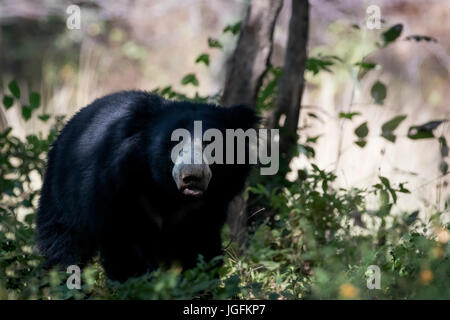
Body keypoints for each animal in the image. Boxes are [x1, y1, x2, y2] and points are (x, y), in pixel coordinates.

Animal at [37, 91, 258, 282]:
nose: (192, 176)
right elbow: (124, 241)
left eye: (211, 142)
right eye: (175, 141)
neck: (168, 194)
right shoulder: (120, 186)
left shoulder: (211, 203)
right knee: (64, 240)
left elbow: (198, 245)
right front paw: (140, 282)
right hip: (62, 188)